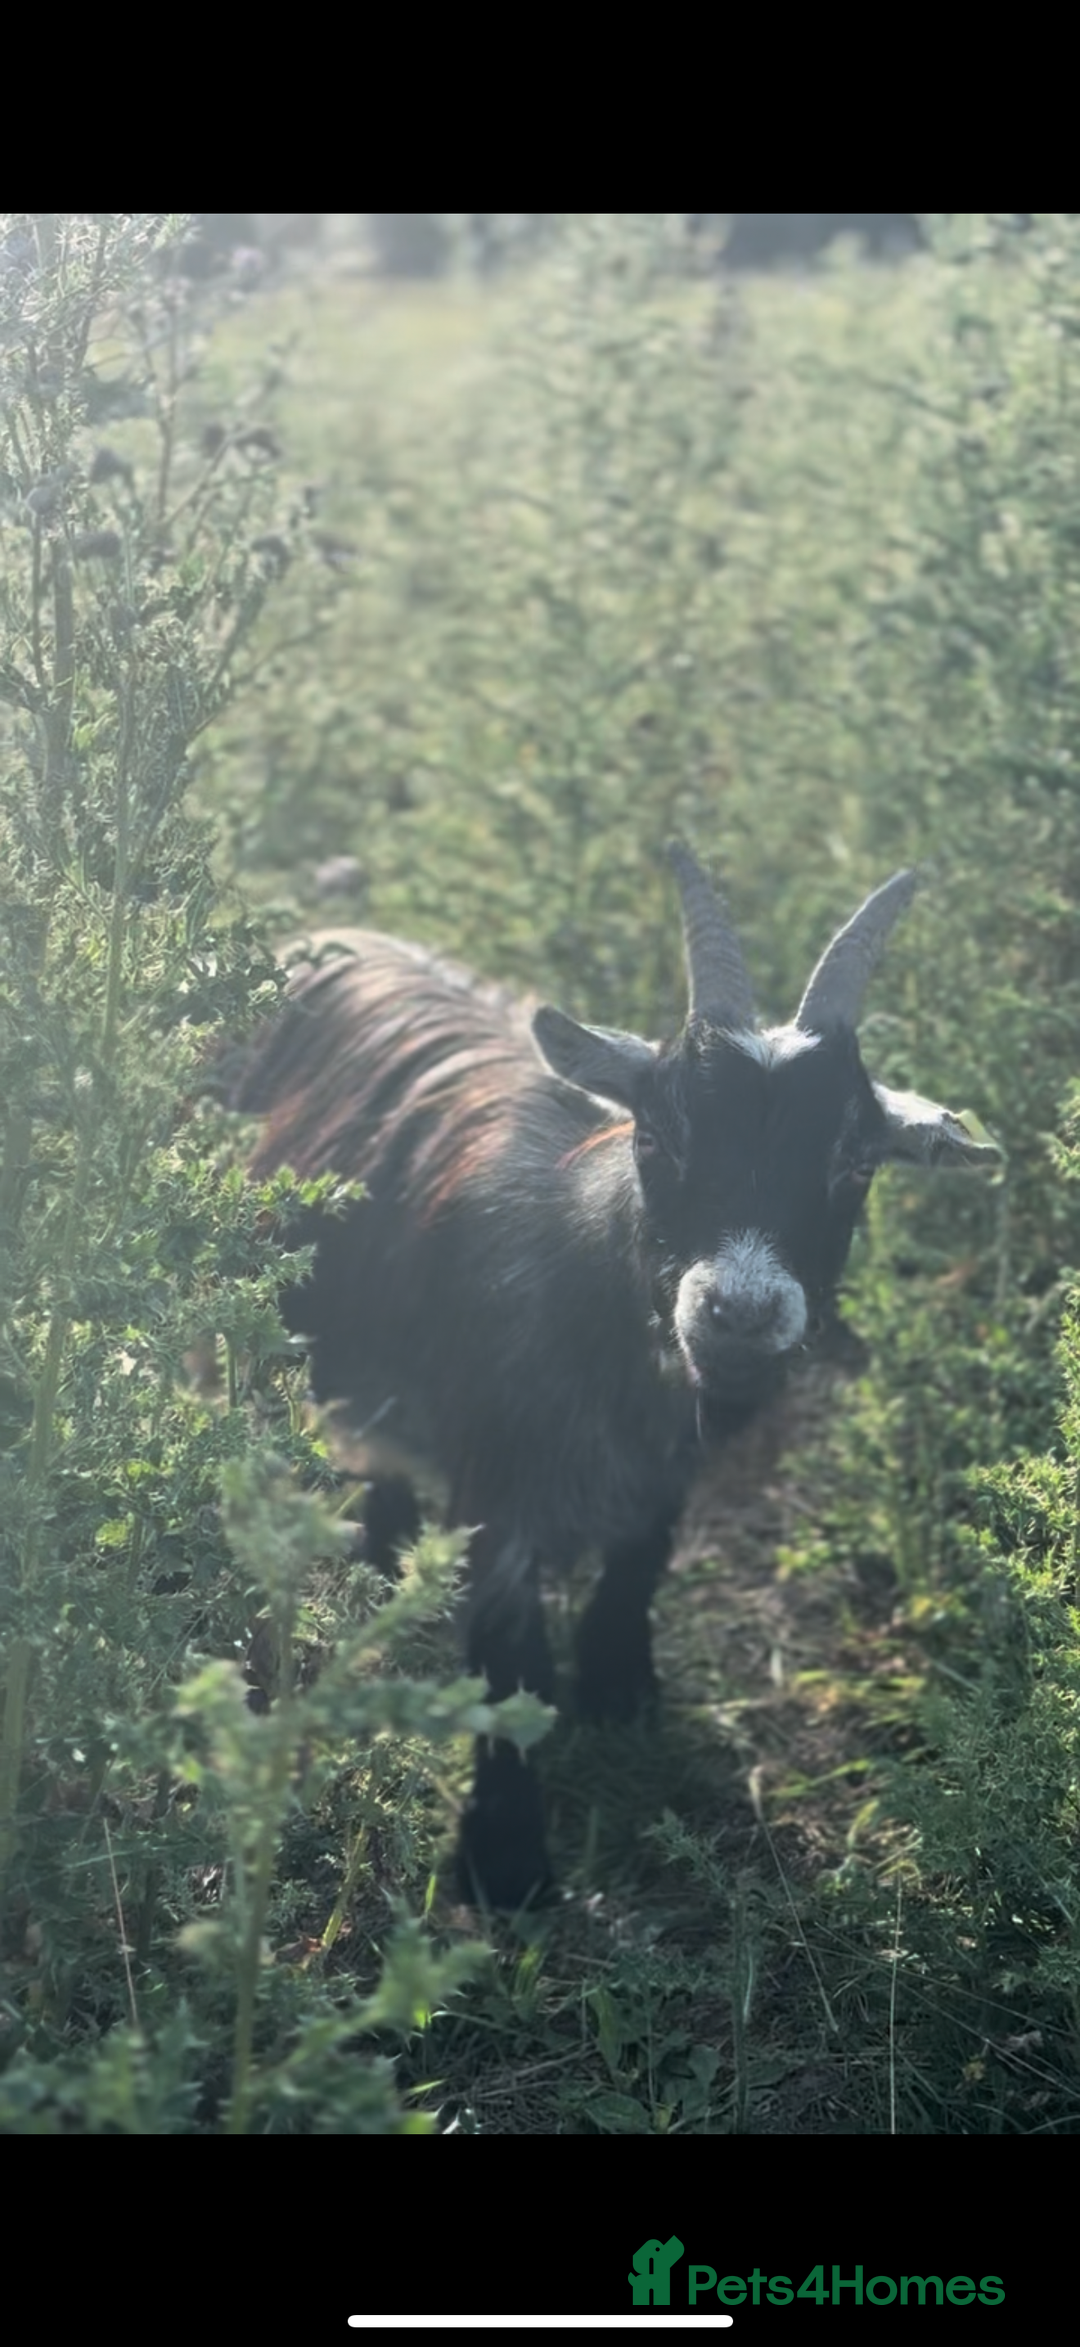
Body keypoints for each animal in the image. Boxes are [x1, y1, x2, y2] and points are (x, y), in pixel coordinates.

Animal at [230, 846, 997, 1907]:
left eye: (855, 1161)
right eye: (655, 1135)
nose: (740, 1312)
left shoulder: (665, 1463)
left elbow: (641, 1557)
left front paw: (616, 1688)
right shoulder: (496, 1475)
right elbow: (505, 1650)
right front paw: (505, 1859)